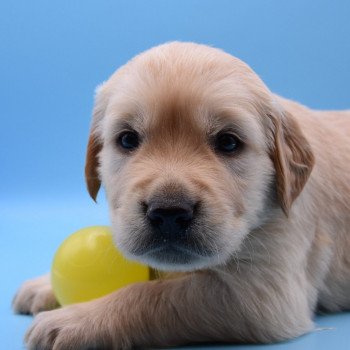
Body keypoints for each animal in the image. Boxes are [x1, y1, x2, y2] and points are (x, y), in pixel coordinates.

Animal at [13, 42, 350, 348]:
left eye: (229, 142)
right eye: (127, 139)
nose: (169, 213)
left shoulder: (263, 295)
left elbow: (156, 295)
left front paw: (76, 319)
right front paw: (44, 285)